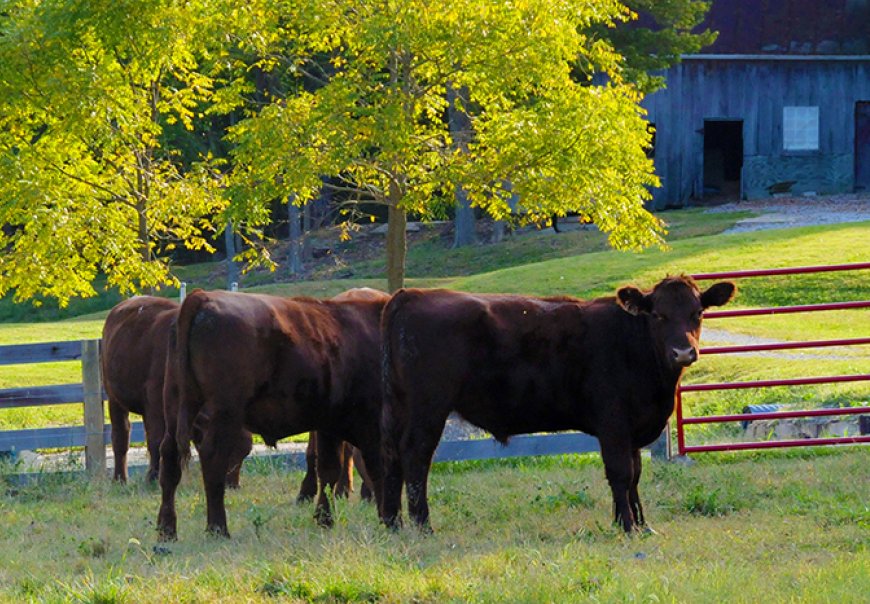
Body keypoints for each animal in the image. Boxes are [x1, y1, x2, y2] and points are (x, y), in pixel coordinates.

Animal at [102, 296, 251, 485]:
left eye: (245, 452)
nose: (232, 485)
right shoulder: (155, 406)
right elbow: (156, 441)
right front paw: (153, 477)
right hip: (114, 399)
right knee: (120, 437)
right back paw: (120, 478)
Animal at [157, 288, 390, 540]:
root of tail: (202, 297)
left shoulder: (329, 426)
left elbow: (329, 469)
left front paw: (324, 519)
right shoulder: (369, 426)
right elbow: (375, 468)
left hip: (174, 407)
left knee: (169, 459)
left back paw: (167, 530)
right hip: (224, 412)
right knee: (213, 458)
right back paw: (218, 529)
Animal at [379, 275, 736, 533]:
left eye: (697, 313)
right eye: (659, 315)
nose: (684, 352)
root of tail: (408, 295)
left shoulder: (632, 427)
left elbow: (635, 473)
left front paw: (641, 524)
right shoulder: (613, 423)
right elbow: (621, 473)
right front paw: (627, 527)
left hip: (399, 407)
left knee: (391, 456)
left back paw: (393, 524)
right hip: (428, 408)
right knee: (416, 457)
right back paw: (423, 526)